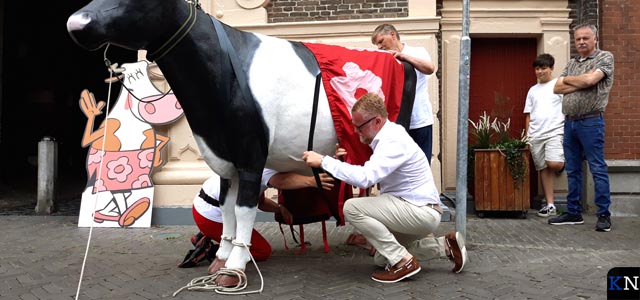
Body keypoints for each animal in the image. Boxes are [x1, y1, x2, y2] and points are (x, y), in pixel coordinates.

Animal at [65, 0, 416, 288]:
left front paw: (234, 267)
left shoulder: (250, 156)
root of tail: (401, 59)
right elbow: (226, 208)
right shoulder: (223, 158)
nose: (75, 22)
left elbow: (244, 210)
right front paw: (220, 256)